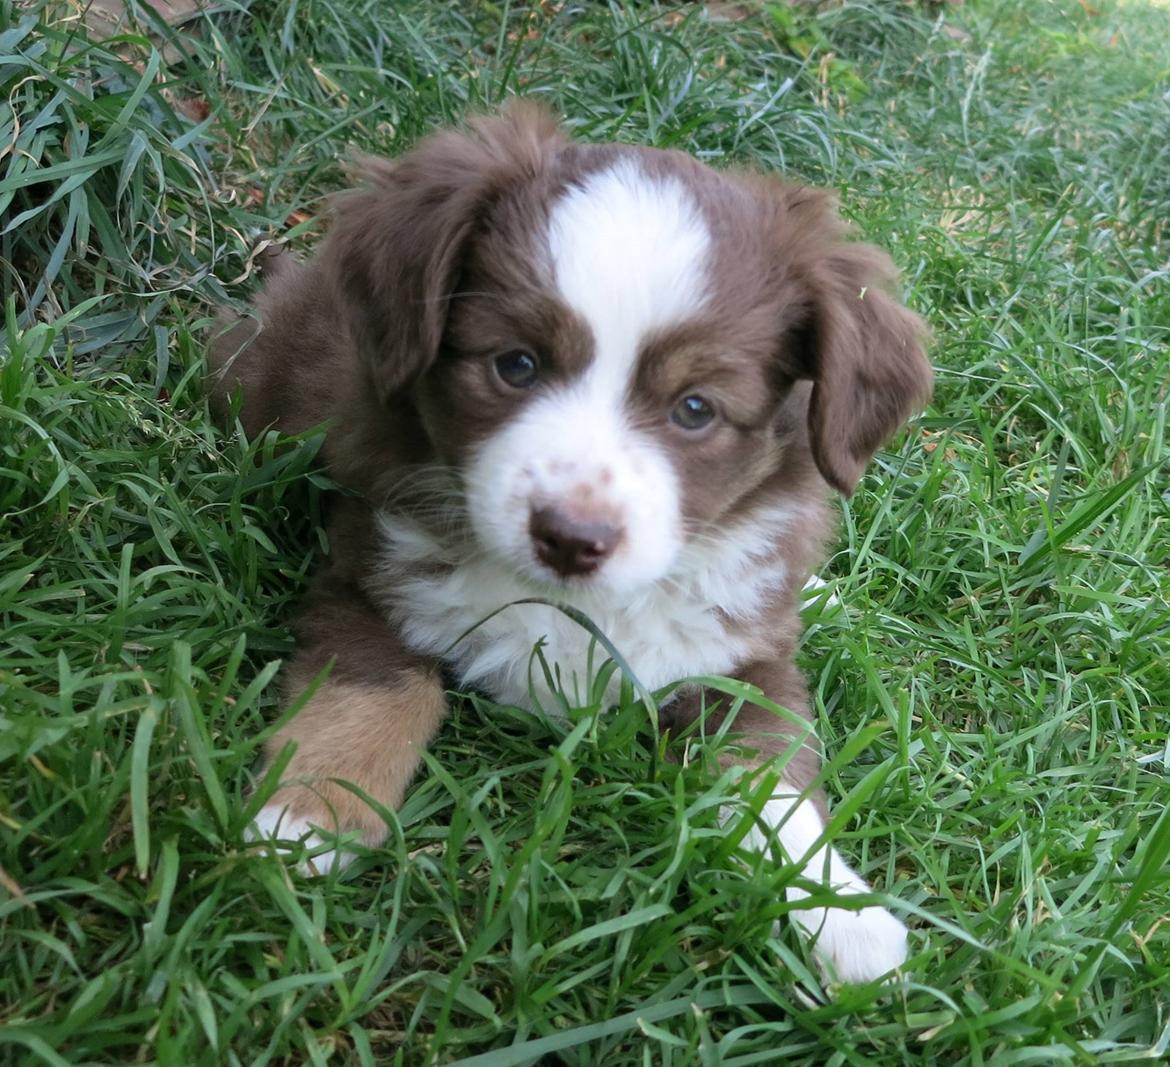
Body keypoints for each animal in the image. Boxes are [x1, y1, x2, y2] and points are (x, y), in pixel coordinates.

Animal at [210, 100, 931, 982]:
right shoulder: (373, 568)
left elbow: (773, 784)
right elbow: (380, 692)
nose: (570, 537)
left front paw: (840, 913)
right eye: (515, 364)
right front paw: (306, 815)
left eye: (696, 408)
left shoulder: (741, 664)